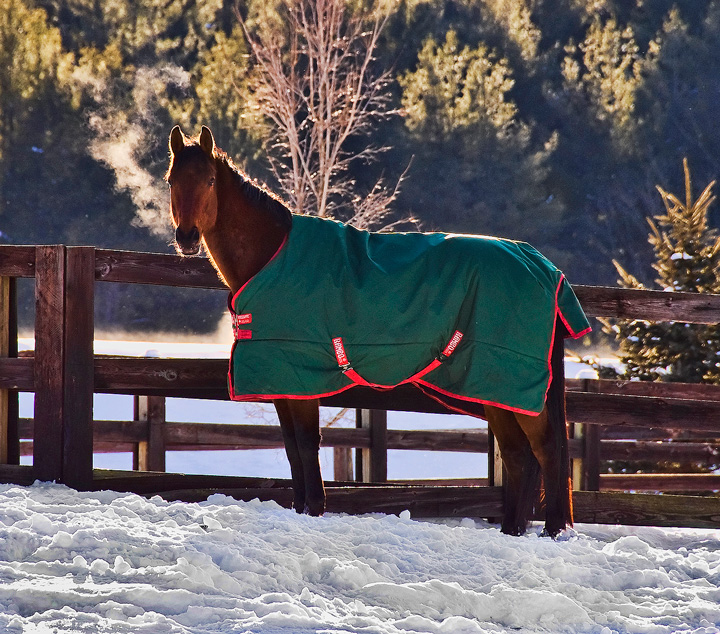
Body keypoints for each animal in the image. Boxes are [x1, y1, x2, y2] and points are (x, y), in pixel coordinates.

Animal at [166, 124, 588, 540]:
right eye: (172, 180)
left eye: (208, 180)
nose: (186, 237)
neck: (273, 256)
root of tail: (545, 268)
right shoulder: (283, 382)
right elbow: (291, 446)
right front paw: (302, 507)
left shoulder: (300, 378)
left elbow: (306, 443)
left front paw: (314, 508)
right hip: (493, 390)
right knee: (519, 456)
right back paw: (511, 530)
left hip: (510, 385)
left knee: (546, 448)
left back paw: (551, 530)